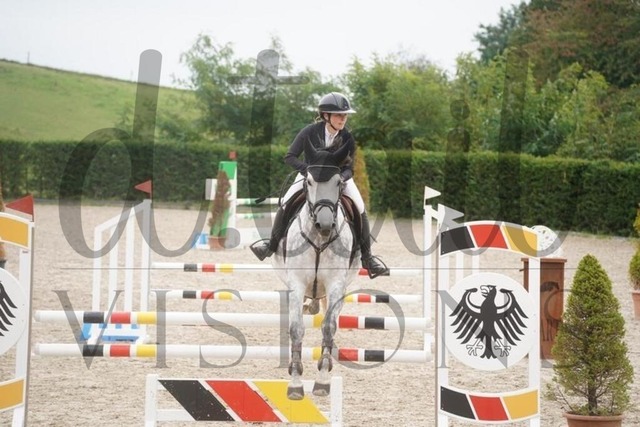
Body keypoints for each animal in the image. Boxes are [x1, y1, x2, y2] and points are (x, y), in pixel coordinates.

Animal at [272, 140, 360, 400]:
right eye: (309, 181)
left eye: (339, 182)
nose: (325, 225)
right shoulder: (297, 283)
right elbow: (296, 329)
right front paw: (295, 383)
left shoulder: (336, 284)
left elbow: (329, 328)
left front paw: (322, 380)